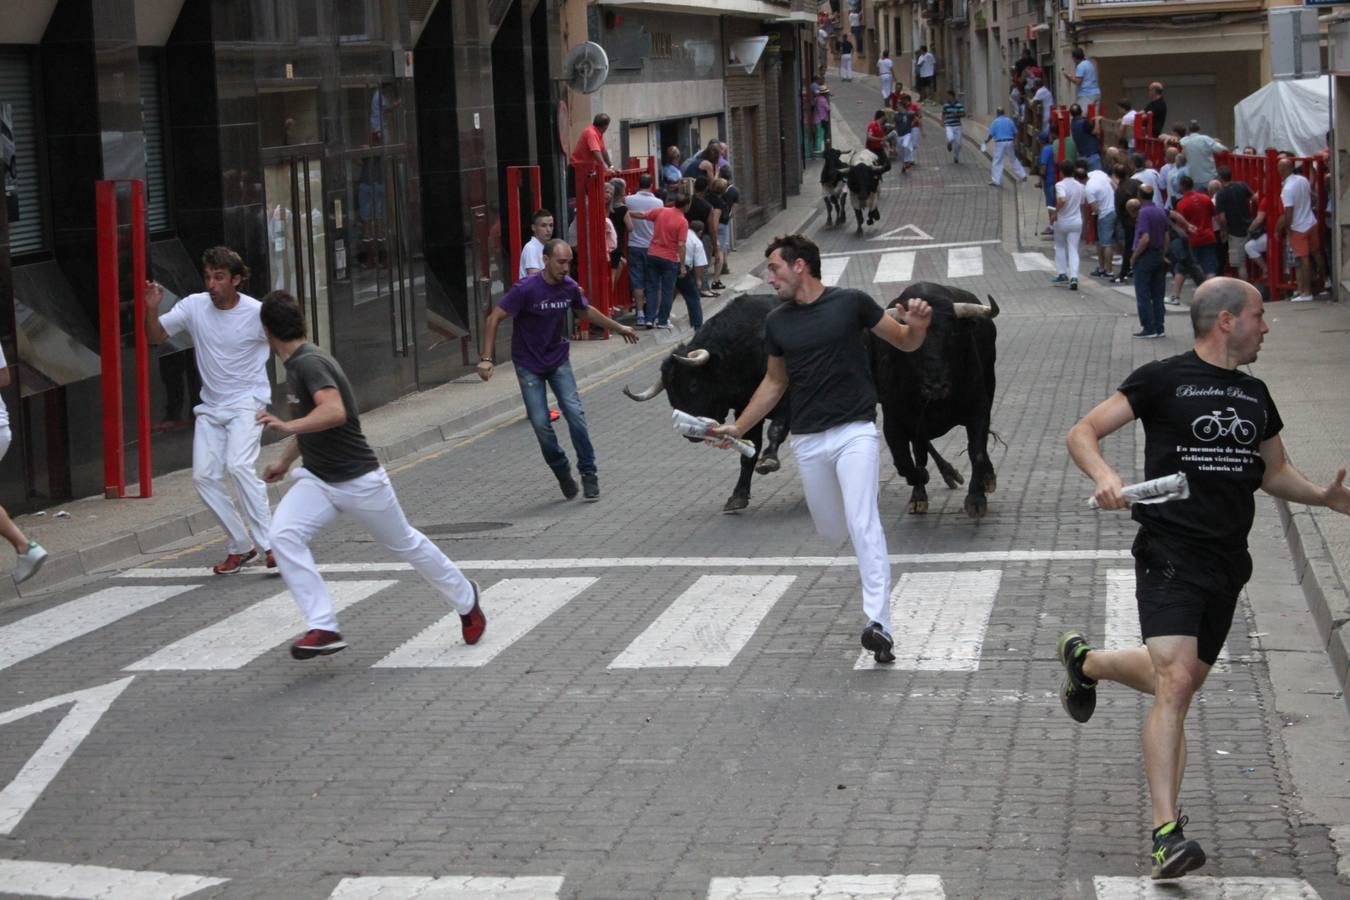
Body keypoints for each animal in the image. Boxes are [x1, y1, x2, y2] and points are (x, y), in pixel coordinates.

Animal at [623, 295, 788, 512]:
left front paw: (768, 460)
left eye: (693, 383)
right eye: (669, 390)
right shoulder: (745, 409)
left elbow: (776, 430)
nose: (689, 434)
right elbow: (749, 451)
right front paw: (738, 495)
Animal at [869, 282, 999, 520]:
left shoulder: (978, 410)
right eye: (909, 335)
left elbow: (976, 451)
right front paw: (920, 485)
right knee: (919, 453)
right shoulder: (895, 421)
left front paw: (976, 498)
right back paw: (922, 493)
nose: (937, 386)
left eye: (952, 333)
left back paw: (985, 477)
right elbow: (904, 462)